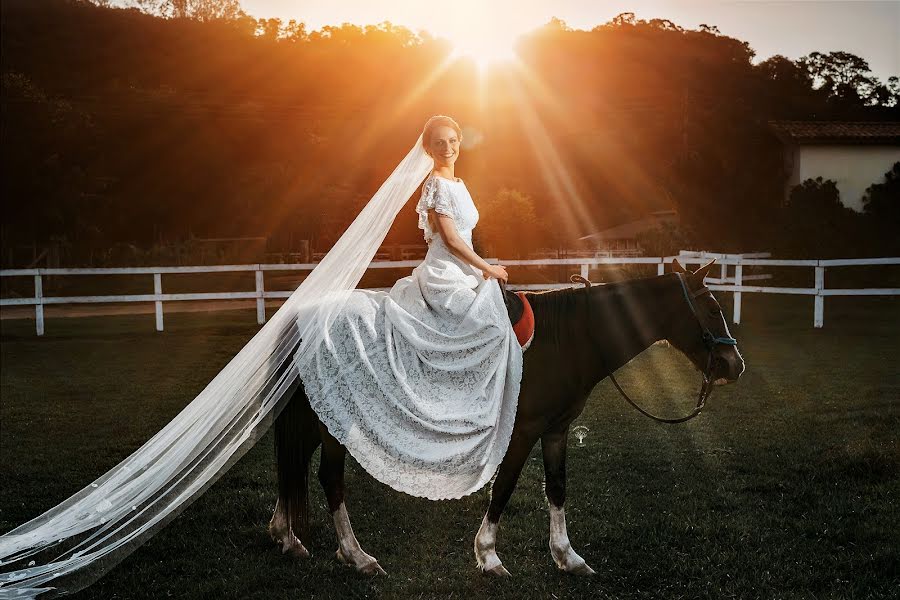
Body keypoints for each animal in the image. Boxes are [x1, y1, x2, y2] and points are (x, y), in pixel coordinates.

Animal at [268, 258, 744, 576]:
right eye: (713, 308)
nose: (734, 364)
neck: (568, 337)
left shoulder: (556, 429)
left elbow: (558, 487)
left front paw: (567, 556)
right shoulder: (523, 430)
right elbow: (505, 486)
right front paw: (488, 554)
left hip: (323, 413)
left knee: (294, 461)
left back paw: (287, 535)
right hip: (336, 422)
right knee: (329, 477)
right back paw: (356, 555)